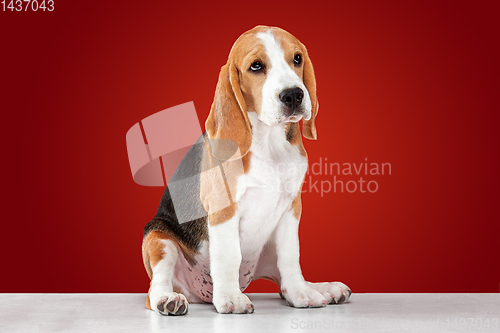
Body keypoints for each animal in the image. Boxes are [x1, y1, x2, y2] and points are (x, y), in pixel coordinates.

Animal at [141, 25, 352, 314]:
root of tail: (200, 293)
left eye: (297, 59)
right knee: (157, 285)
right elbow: (229, 255)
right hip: (158, 239)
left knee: (283, 279)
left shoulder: (291, 207)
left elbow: (291, 257)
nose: (294, 95)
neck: (269, 145)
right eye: (256, 66)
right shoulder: (224, 208)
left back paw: (322, 288)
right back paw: (169, 299)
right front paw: (230, 298)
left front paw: (301, 293)